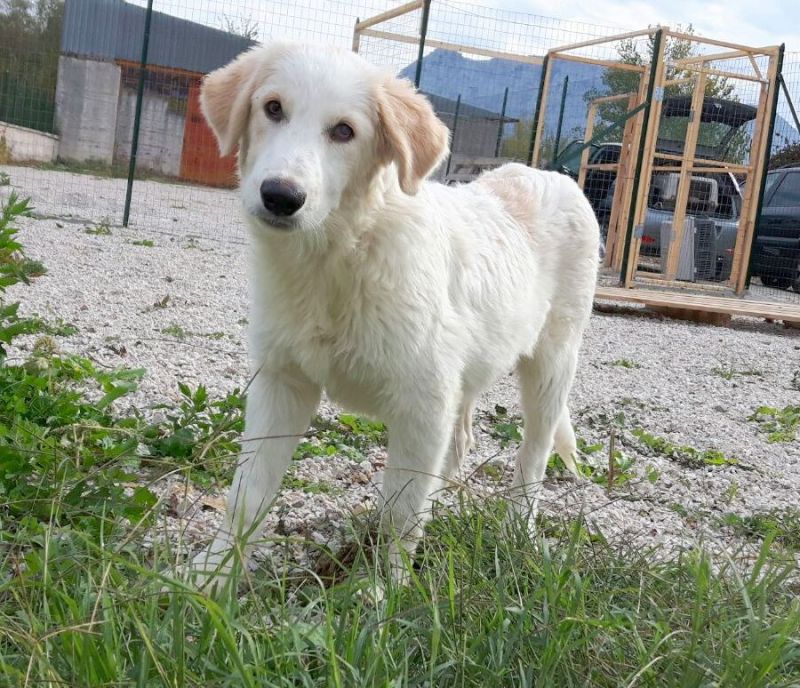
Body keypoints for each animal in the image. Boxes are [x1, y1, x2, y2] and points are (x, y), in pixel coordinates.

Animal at [189, 41, 600, 580]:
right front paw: (211, 577)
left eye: (344, 131)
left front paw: (381, 591)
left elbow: (400, 514)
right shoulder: (282, 383)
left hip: (552, 361)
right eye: (272, 108)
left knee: (533, 457)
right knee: (459, 443)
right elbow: (247, 494)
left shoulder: (422, 403)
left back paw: (519, 534)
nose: (280, 196)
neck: (339, 254)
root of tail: (551, 174)